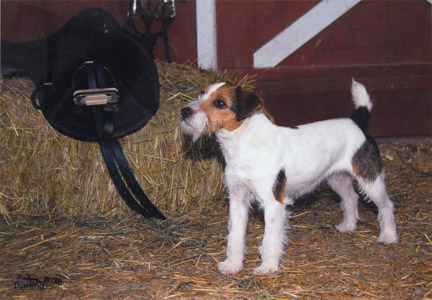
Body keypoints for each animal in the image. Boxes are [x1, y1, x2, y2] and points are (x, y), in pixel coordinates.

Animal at [180, 79, 398, 274]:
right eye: (201, 93)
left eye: (220, 103)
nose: (184, 111)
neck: (244, 142)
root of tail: (356, 122)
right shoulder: (237, 198)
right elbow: (235, 236)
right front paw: (232, 265)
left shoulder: (273, 204)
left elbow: (270, 240)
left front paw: (267, 267)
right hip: (338, 179)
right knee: (351, 198)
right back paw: (348, 226)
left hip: (370, 181)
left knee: (386, 205)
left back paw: (389, 236)